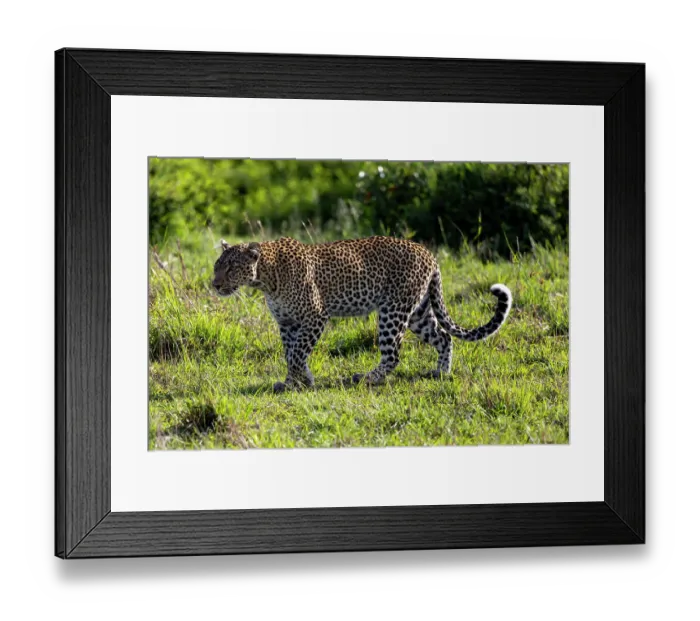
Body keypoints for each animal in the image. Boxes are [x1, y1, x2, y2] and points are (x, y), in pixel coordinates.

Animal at [212, 236, 512, 393]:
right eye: (217, 266)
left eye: (231, 268)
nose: (214, 284)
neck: (265, 278)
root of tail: (429, 253)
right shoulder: (287, 323)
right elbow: (291, 353)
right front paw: (294, 381)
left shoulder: (315, 317)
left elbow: (297, 353)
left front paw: (300, 381)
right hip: (418, 312)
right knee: (443, 337)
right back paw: (441, 372)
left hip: (392, 310)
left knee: (393, 355)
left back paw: (368, 378)